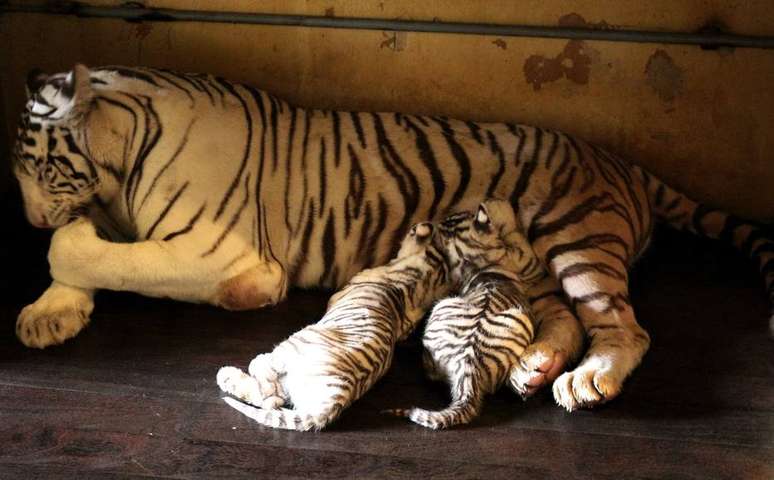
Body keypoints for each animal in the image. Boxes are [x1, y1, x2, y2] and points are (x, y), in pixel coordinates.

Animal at [216, 221, 453, 431]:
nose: (413, 227)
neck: (415, 280)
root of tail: (336, 399)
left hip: (296, 346)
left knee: (267, 384)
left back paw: (227, 374)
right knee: (273, 400)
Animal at [388, 199, 543, 428]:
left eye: (453, 217)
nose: (438, 219)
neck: (470, 260)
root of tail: (468, 366)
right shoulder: (524, 258)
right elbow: (516, 234)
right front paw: (501, 206)